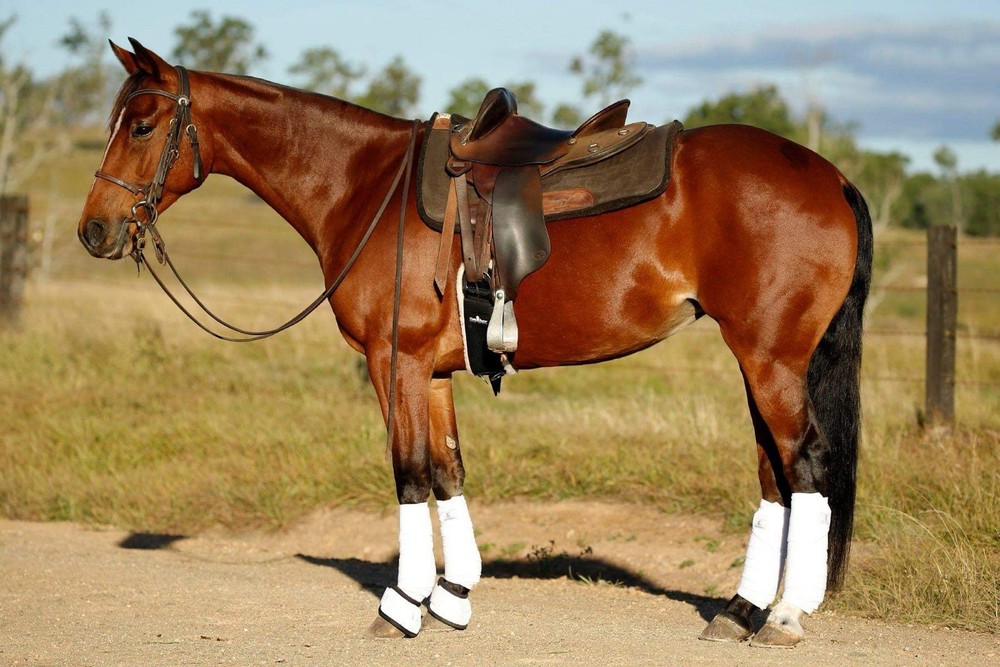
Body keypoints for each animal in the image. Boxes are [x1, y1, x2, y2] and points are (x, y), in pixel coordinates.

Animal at [78, 39, 871, 647]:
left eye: (142, 125)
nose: (94, 230)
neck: (366, 186)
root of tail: (831, 175)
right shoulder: (431, 373)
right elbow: (448, 471)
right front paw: (453, 596)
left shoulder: (392, 362)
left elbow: (408, 473)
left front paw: (401, 608)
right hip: (759, 361)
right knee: (773, 474)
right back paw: (739, 611)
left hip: (770, 361)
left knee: (805, 464)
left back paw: (784, 616)